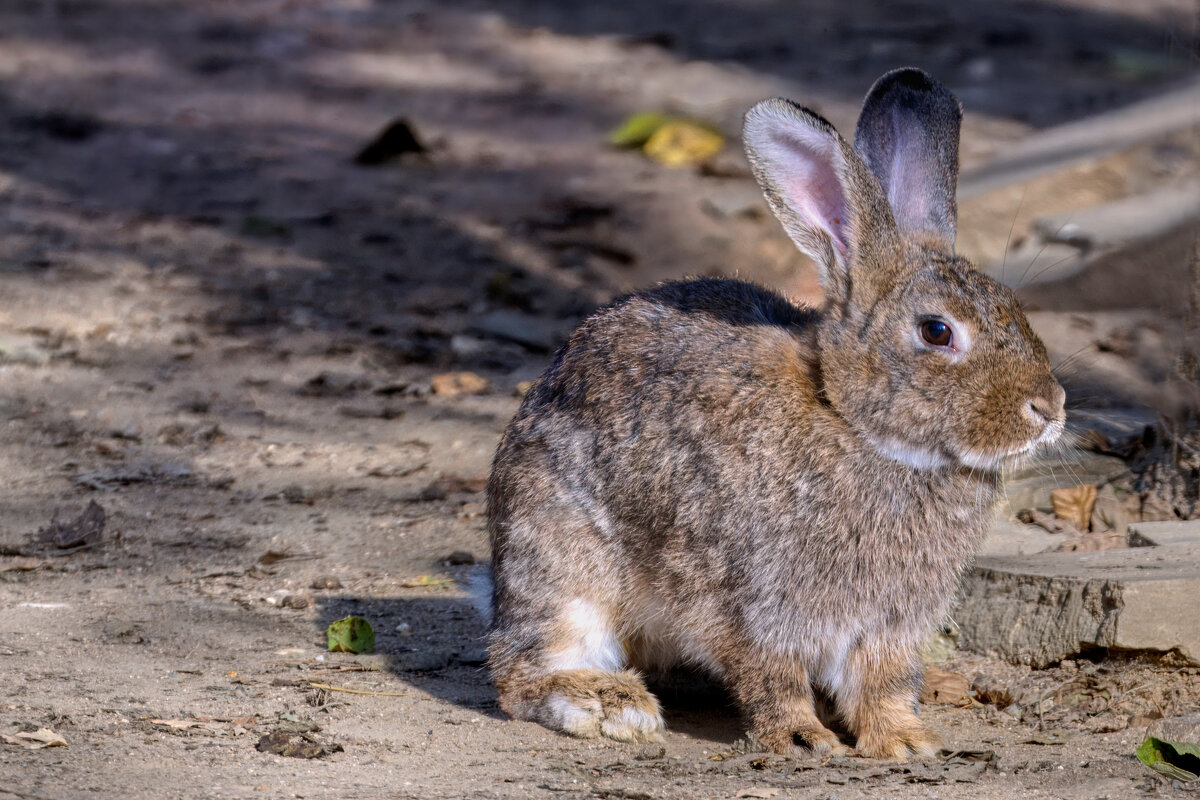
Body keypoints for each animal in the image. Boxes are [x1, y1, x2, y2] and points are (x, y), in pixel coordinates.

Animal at [477, 65, 1060, 762]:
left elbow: (883, 683)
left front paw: (905, 741)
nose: (1049, 409)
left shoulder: (888, 627)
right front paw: (803, 739)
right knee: (522, 668)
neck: (852, 421)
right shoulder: (748, 600)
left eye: (1015, 307)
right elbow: (770, 674)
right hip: (559, 559)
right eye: (937, 332)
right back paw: (609, 705)